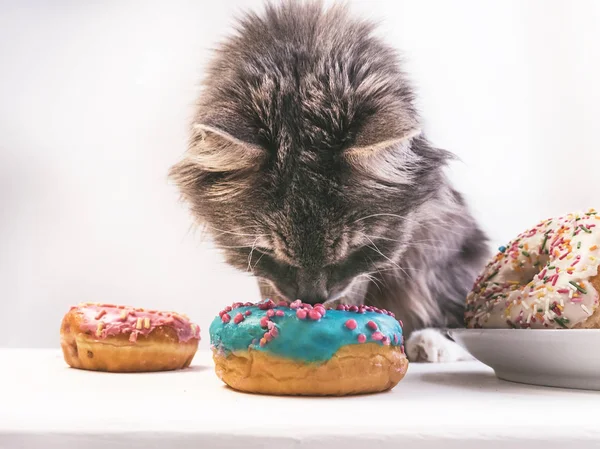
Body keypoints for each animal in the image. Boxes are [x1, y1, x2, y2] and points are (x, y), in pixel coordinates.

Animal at [169, 0, 492, 360]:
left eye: (351, 251)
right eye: (269, 252)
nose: (313, 300)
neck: (307, 63)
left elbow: (357, 287)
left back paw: (430, 344)